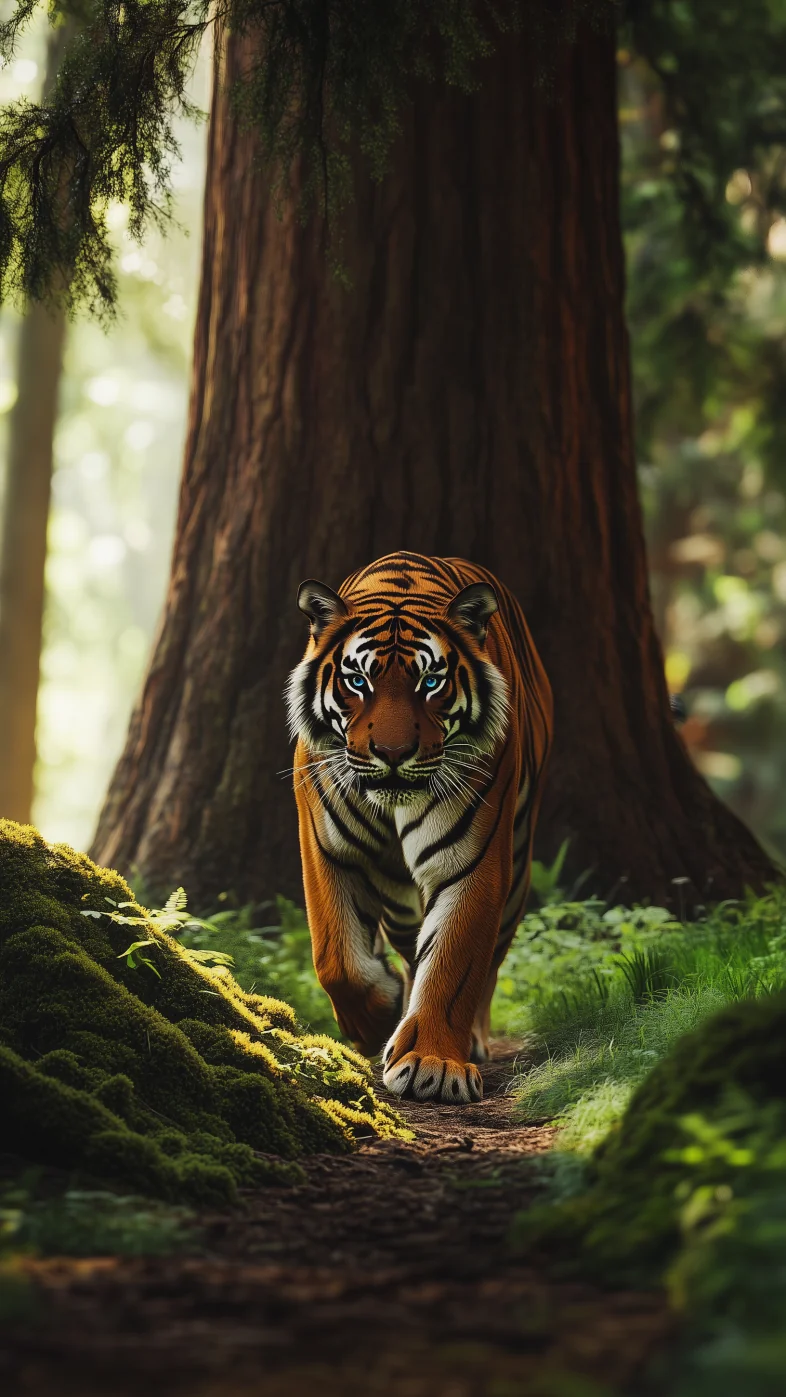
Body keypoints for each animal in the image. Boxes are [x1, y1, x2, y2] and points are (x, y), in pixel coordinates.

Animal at [286, 551, 553, 1104]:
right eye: (358, 682)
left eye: (430, 683)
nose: (391, 754)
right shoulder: (325, 848)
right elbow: (333, 955)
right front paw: (376, 1019)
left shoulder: (472, 862)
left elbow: (453, 963)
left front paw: (434, 1063)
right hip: (398, 900)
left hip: (517, 865)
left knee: (489, 960)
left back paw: (467, 1040)